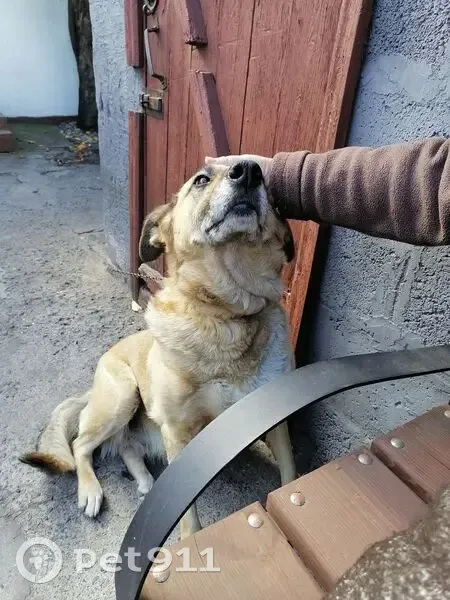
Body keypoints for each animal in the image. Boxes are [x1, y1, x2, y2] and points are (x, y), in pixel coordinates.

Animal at [21, 160, 297, 539]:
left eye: (269, 186)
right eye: (201, 179)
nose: (250, 171)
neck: (226, 312)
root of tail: (90, 390)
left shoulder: (276, 418)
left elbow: (291, 472)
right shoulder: (177, 431)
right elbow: (188, 515)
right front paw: (190, 540)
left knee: (126, 447)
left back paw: (144, 481)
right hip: (123, 395)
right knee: (81, 445)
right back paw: (91, 490)